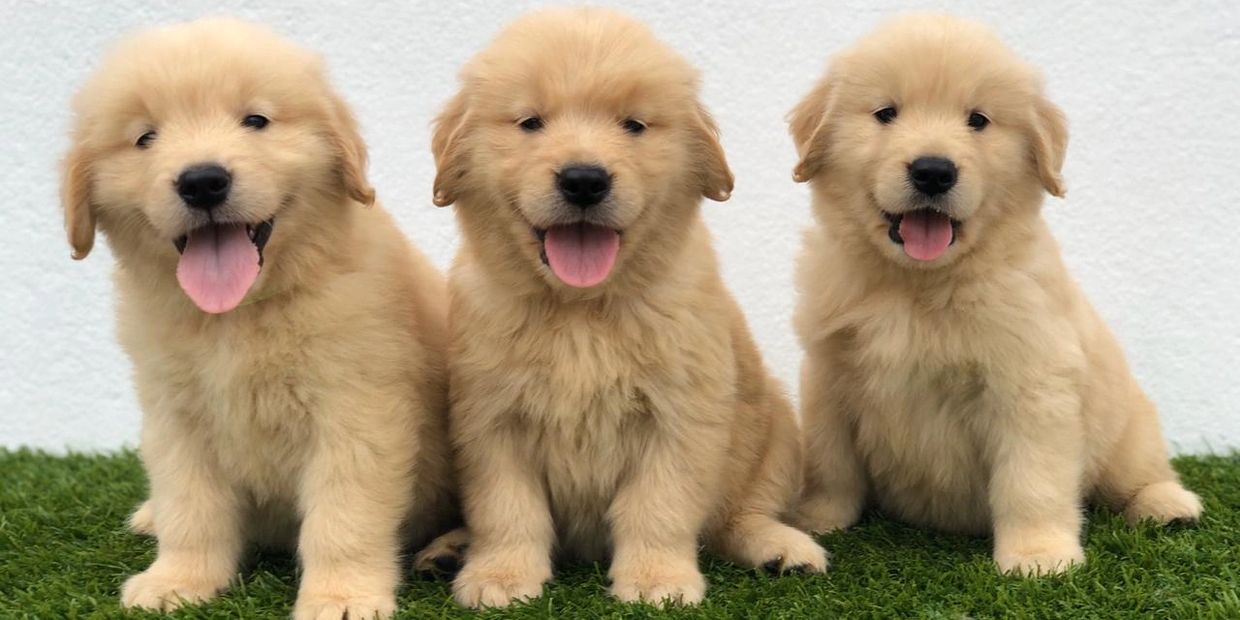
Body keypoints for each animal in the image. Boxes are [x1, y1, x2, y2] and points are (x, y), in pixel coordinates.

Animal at [60, 16, 458, 617]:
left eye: (256, 121)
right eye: (145, 137)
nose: (202, 181)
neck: (237, 316)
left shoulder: (357, 412)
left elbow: (343, 517)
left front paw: (342, 595)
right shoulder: (176, 416)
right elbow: (190, 506)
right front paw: (178, 579)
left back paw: (449, 551)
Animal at [421, 7, 828, 607]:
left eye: (634, 125)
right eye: (530, 123)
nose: (584, 179)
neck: (581, 310)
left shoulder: (680, 417)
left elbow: (657, 505)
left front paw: (658, 580)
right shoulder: (490, 421)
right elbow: (507, 510)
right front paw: (502, 575)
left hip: (776, 428)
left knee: (739, 515)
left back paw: (782, 548)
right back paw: (448, 549)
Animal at [783, 13, 1200, 575]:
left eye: (978, 120)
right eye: (886, 113)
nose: (933, 171)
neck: (916, 285)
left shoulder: (1032, 384)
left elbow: (1031, 481)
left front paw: (1039, 555)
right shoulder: (828, 376)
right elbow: (830, 463)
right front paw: (816, 521)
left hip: (1128, 426)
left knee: (1138, 474)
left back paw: (1169, 505)